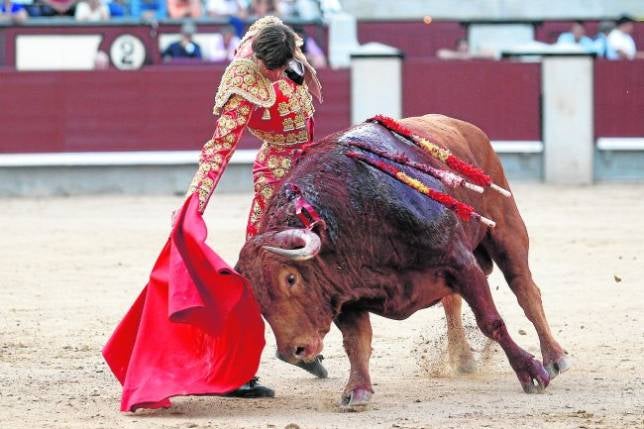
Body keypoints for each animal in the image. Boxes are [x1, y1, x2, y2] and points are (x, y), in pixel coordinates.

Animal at [236, 113, 568, 404]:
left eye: (290, 278)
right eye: (257, 298)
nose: (292, 352)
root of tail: (463, 126)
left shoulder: (461, 262)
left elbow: (491, 321)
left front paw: (531, 373)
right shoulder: (344, 290)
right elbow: (356, 341)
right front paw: (357, 391)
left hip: (506, 228)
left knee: (525, 290)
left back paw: (554, 359)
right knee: (452, 302)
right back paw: (462, 358)